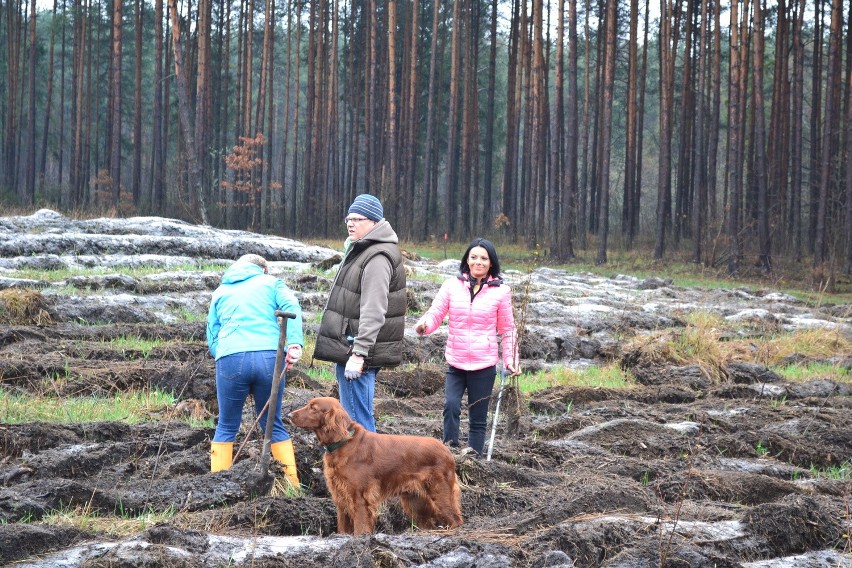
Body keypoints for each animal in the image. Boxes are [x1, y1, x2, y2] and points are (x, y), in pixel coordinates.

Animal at [290, 398, 462, 536]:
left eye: (313, 408)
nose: (290, 415)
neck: (344, 441)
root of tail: (446, 449)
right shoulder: (340, 497)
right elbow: (343, 526)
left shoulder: (359, 497)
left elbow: (360, 525)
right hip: (415, 501)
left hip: (439, 492)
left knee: (455, 518)